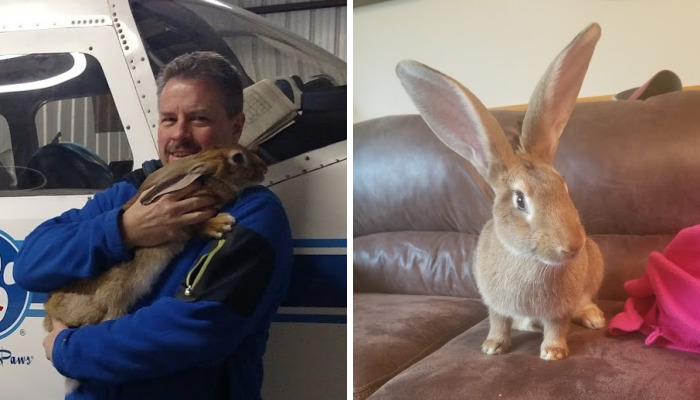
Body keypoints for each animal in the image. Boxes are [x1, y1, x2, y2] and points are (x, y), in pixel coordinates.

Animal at [43, 144, 268, 332]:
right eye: (237, 158)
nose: (264, 168)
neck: (209, 180)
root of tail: (51, 313)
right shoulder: (181, 223)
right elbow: (196, 227)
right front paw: (221, 223)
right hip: (115, 295)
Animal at [396, 23, 605, 360]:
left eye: (563, 185)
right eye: (520, 200)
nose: (573, 247)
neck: (530, 261)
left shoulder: (559, 310)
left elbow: (557, 326)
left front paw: (553, 353)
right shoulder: (495, 304)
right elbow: (497, 322)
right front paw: (492, 347)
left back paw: (592, 318)